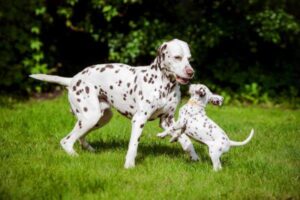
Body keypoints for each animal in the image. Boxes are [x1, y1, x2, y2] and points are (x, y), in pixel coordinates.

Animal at [30, 38, 199, 168]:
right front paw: (129, 165)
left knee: (79, 137)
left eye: (189, 59)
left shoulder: (167, 120)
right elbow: (133, 145)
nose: (191, 72)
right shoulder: (139, 120)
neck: (164, 84)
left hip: (99, 118)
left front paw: (193, 155)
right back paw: (74, 157)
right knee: (66, 141)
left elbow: (185, 138)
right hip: (90, 117)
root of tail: (73, 79)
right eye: (177, 57)